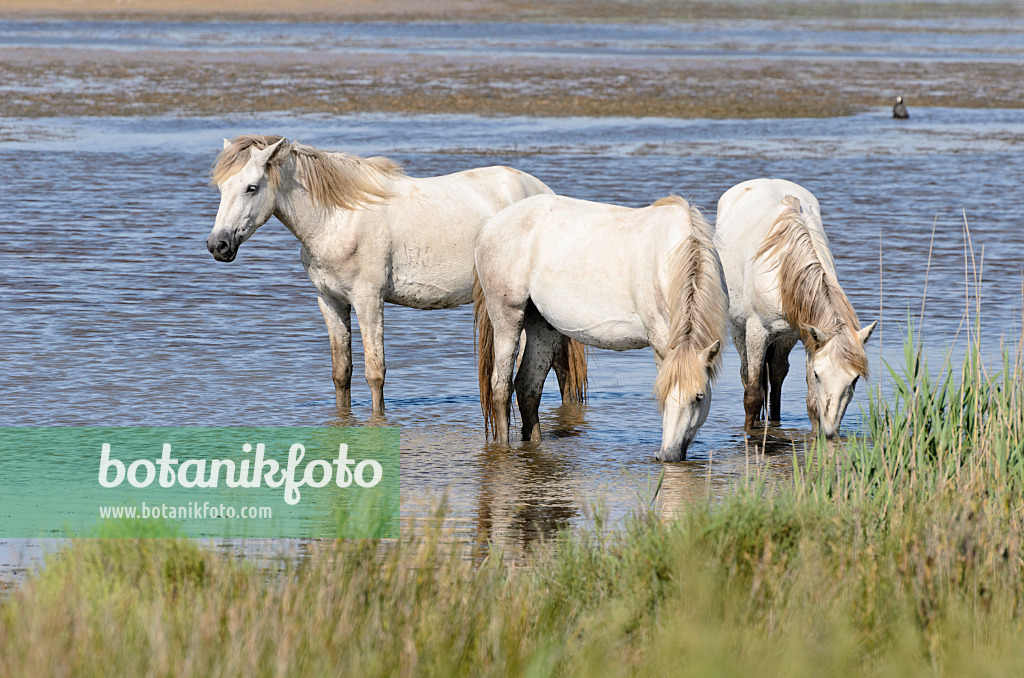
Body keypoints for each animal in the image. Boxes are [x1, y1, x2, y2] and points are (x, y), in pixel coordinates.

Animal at [205, 135, 585, 413]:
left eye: (252, 187)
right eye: (222, 188)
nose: (218, 245)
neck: (337, 219)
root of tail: (544, 193)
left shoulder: (368, 300)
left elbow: (376, 372)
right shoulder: (330, 302)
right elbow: (341, 372)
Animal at [473, 193, 729, 464]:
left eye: (699, 396)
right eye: (661, 393)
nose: (668, 455)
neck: (673, 257)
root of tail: (490, 226)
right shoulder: (660, 339)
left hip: (541, 325)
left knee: (528, 387)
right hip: (507, 317)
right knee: (501, 388)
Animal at [716, 178, 876, 438]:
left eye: (854, 380)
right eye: (818, 374)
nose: (830, 432)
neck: (785, 273)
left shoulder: (808, 337)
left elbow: (812, 402)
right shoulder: (756, 332)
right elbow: (752, 395)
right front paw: (750, 433)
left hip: (786, 337)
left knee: (777, 374)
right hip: (739, 329)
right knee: (747, 374)